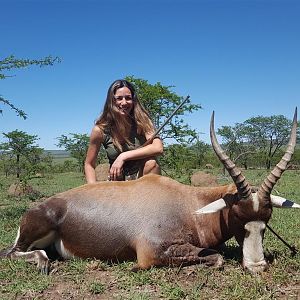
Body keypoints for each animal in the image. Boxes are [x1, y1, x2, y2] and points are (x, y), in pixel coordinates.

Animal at [1, 109, 298, 274]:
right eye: (237, 215)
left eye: (267, 219)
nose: (257, 266)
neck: (188, 203)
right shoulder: (151, 252)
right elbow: (216, 258)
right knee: (14, 252)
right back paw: (41, 262)